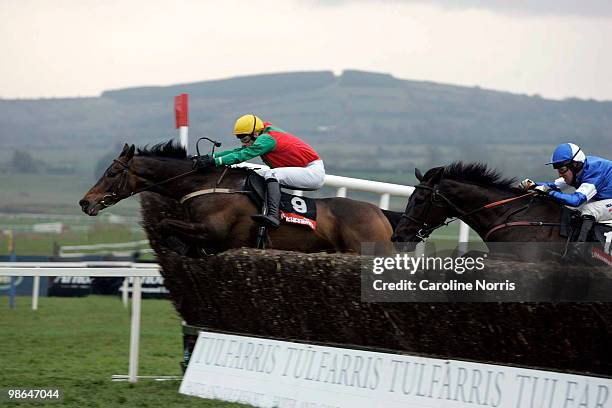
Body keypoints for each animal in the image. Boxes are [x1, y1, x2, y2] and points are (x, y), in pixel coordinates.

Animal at [79, 142, 394, 253]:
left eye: (111, 172)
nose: (85, 202)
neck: (206, 185)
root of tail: (381, 214)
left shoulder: (211, 230)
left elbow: (165, 224)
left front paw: (176, 246)